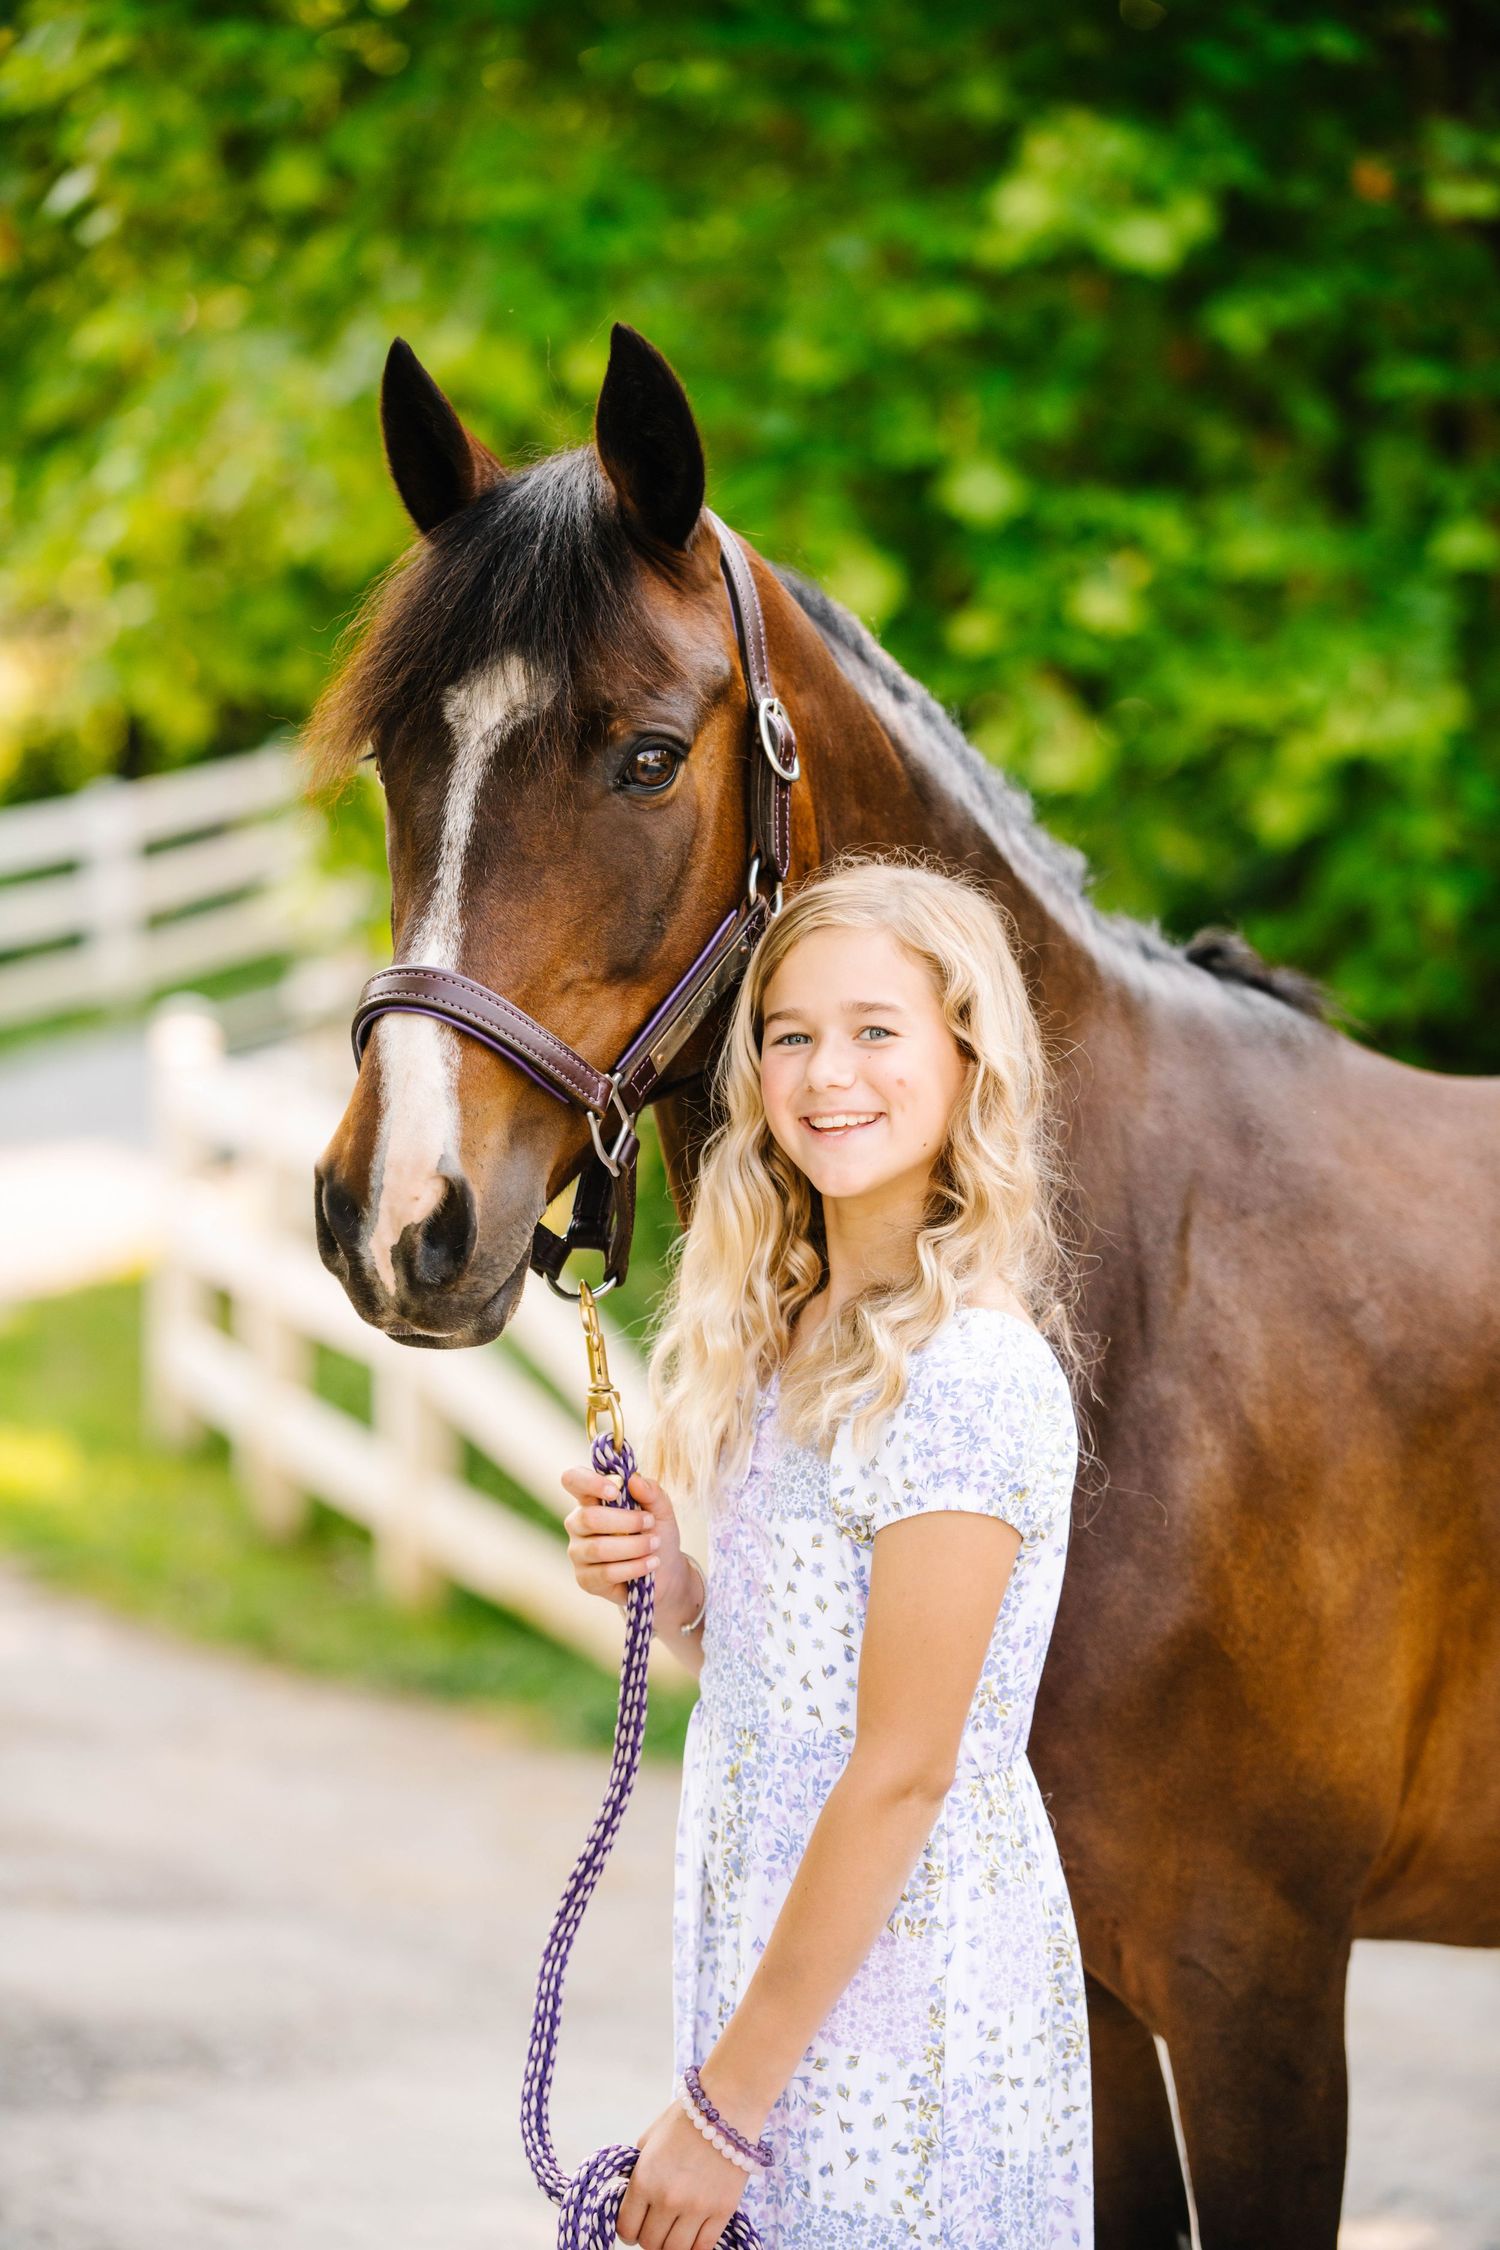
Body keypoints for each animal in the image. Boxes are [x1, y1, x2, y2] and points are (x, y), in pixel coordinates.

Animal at [308, 322, 1500, 2247]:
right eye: (400, 762)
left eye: (647, 758)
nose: (393, 1215)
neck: (1157, 1303)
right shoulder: (1102, 1988)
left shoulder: (1257, 1986)